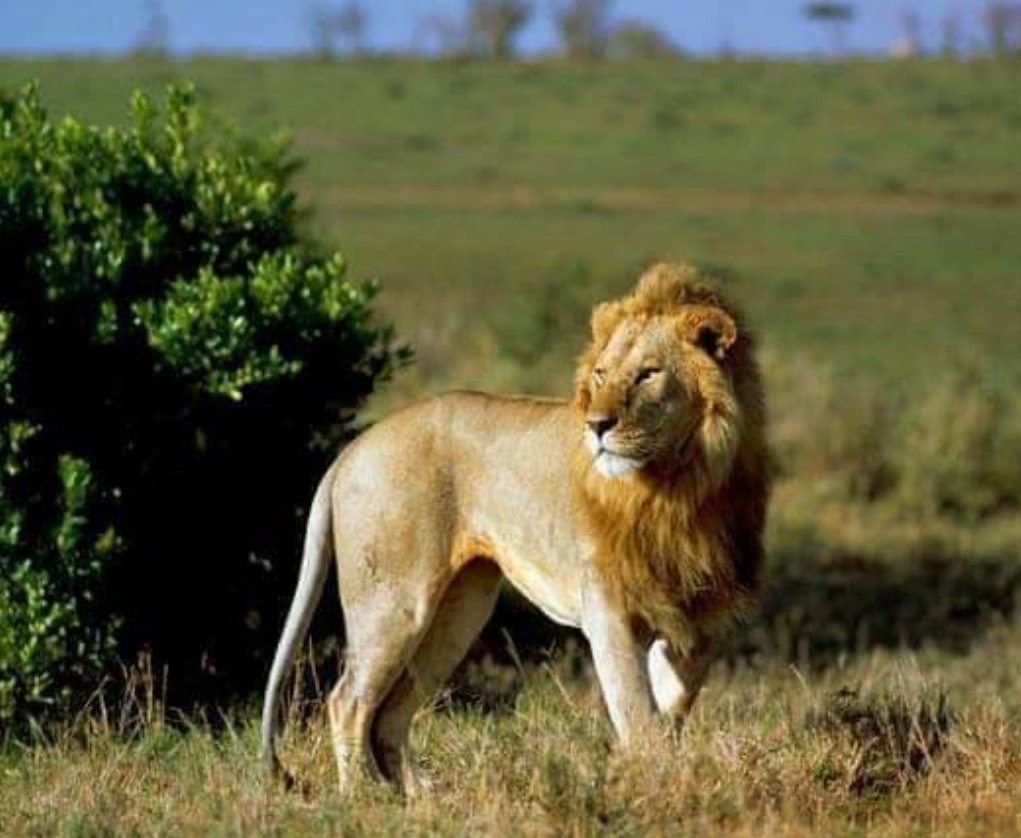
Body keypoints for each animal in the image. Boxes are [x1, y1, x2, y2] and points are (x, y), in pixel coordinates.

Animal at [260, 262, 770, 793]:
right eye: (602, 373)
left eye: (649, 374)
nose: (597, 425)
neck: (679, 485)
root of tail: (351, 451)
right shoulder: (607, 607)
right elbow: (637, 713)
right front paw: (652, 786)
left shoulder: (702, 617)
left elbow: (671, 705)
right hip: (396, 601)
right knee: (347, 700)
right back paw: (362, 795)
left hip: (458, 609)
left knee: (390, 712)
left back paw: (420, 797)